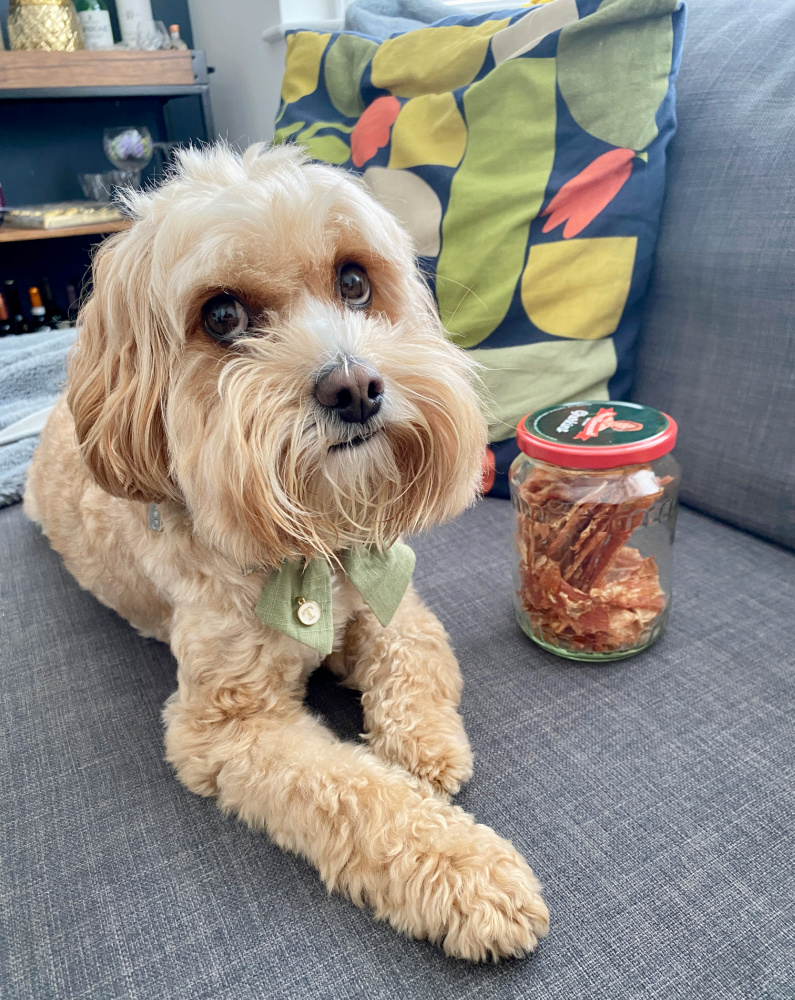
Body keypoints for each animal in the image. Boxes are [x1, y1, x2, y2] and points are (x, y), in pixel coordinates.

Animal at [24, 143, 548, 960]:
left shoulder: (388, 596)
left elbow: (417, 658)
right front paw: (468, 871)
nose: (355, 387)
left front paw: (426, 747)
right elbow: (358, 793)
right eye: (223, 316)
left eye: (354, 281)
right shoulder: (231, 727)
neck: (309, 548)